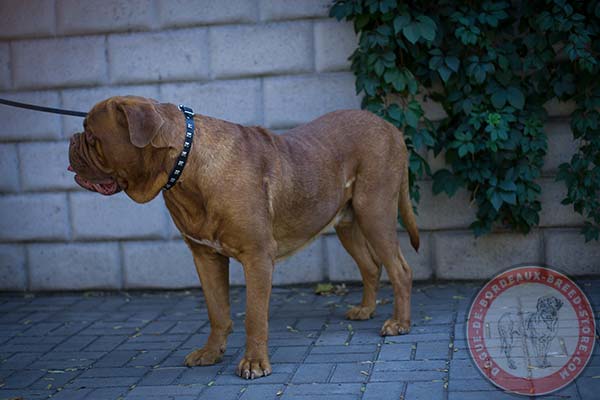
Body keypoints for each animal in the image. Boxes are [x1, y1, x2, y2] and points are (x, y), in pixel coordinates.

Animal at [68, 95, 420, 380]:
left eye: (92, 136)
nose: (71, 139)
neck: (185, 163)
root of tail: (390, 127)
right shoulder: (205, 257)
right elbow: (217, 311)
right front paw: (210, 353)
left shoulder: (257, 257)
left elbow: (254, 315)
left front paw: (254, 363)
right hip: (347, 222)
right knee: (371, 266)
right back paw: (366, 310)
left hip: (375, 213)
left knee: (401, 269)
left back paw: (399, 324)